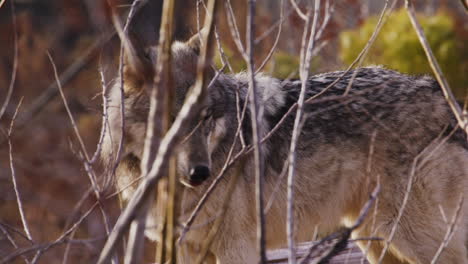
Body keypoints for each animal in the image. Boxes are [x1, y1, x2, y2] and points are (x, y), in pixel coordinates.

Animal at [102, 31, 468, 264]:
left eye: (206, 117)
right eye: (173, 120)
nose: (200, 173)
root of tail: (439, 92)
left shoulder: (237, 248)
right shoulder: (183, 249)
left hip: (410, 236)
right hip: (376, 241)